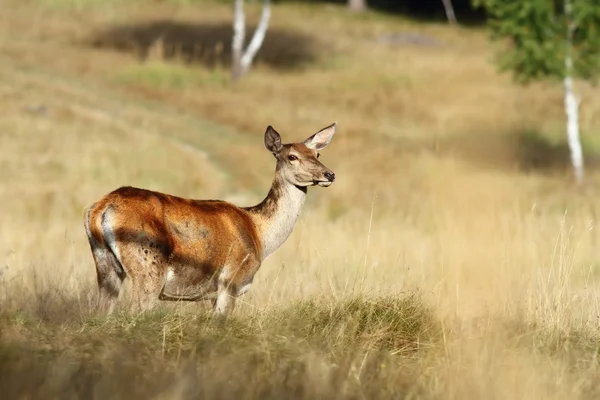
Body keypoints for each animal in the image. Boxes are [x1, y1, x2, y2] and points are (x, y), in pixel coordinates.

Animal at [84, 122, 338, 318]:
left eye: (317, 154)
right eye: (292, 156)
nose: (329, 174)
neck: (260, 235)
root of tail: (101, 208)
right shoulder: (231, 280)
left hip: (105, 264)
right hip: (148, 268)